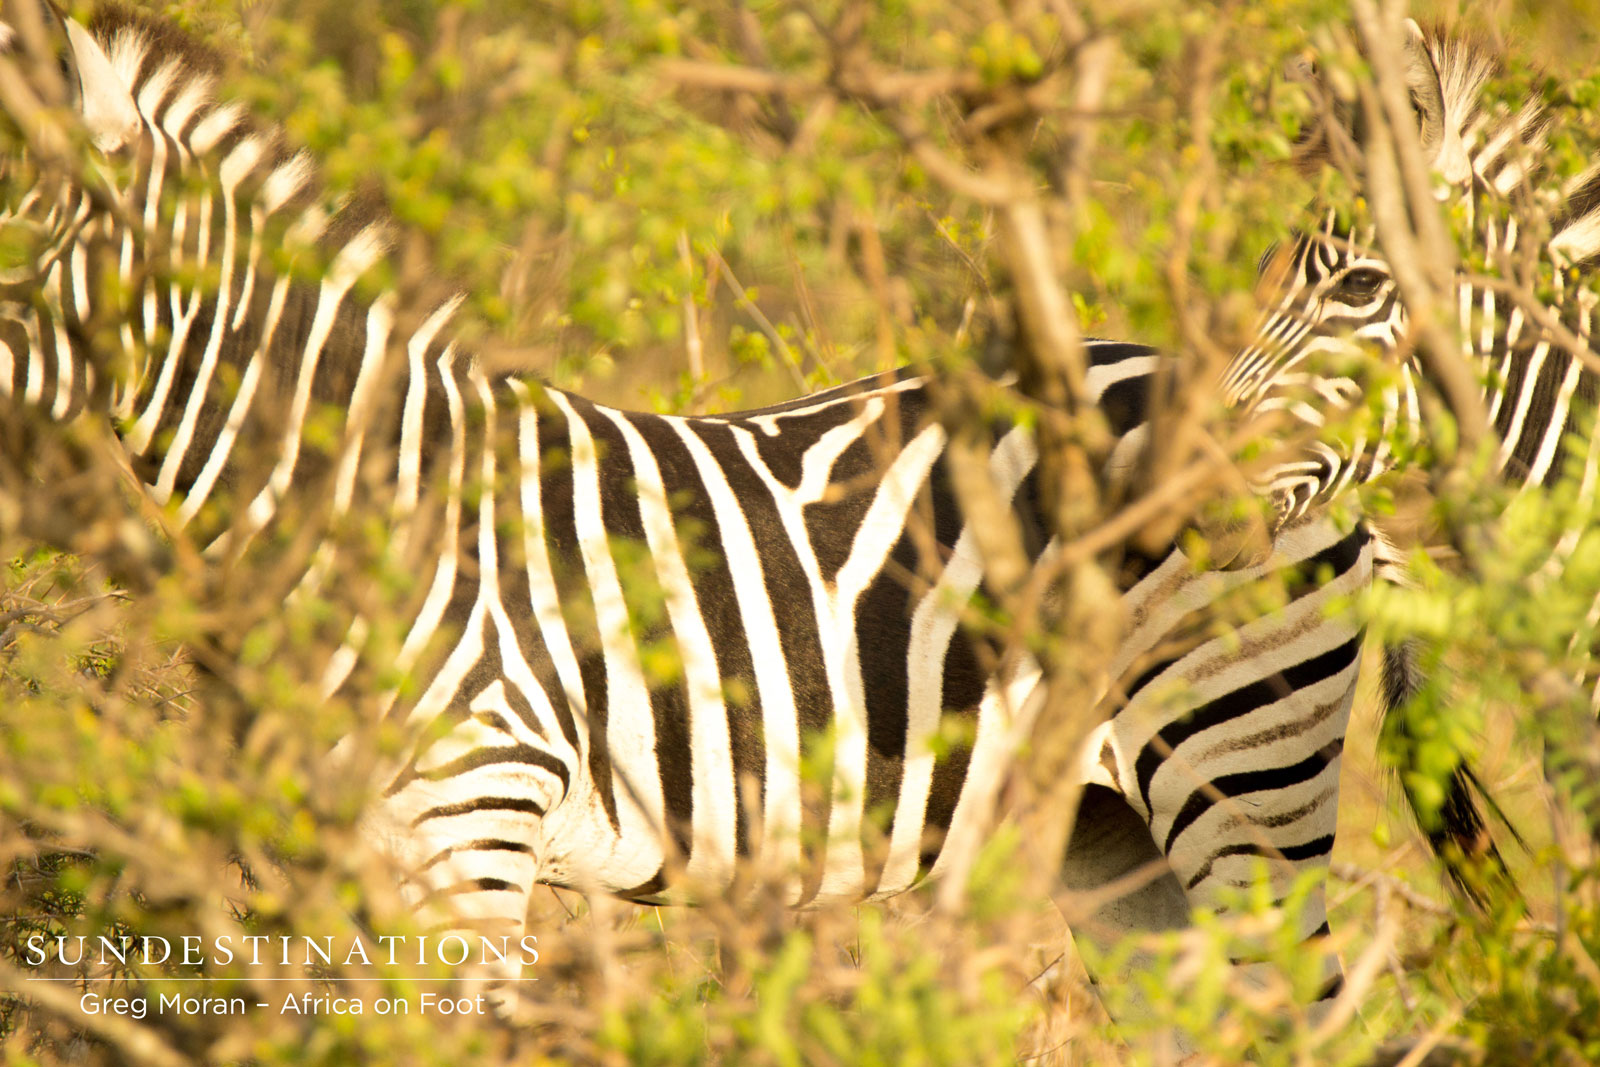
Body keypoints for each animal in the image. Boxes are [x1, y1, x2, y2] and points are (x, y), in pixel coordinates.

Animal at [0, 3, 1372, 1045]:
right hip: (1113, 833)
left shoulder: (478, 824)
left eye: (15, 243)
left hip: (1244, 768)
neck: (360, 500)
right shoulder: (357, 857)